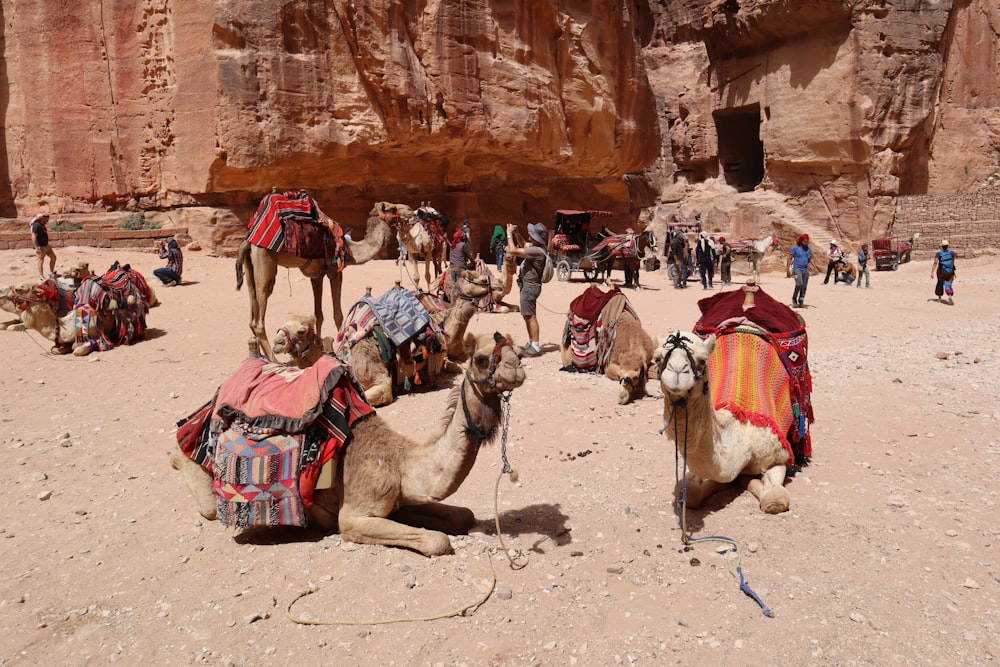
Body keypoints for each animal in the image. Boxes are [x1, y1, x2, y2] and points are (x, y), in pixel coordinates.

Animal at [168, 332, 528, 556]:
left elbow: (463, 516)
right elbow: (437, 541)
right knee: (202, 493)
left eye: (520, 353)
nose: (516, 370)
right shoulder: (355, 514)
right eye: (481, 358)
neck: (402, 462)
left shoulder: (401, 498)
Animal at [656, 284, 812, 516]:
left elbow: (775, 499)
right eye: (657, 359)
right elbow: (693, 493)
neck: (740, 425)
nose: (677, 373)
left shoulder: (778, 455)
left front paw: (752, 481)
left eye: (702, 360)